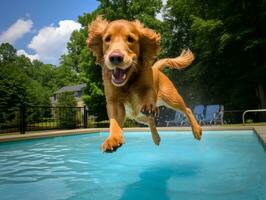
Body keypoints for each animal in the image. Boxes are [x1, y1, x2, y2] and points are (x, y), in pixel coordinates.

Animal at [87, 16, 202, 152]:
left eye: (130, 39)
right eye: (107, 39)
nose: (115, 57)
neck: (129, 80)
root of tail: (156, 68)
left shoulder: (148, 87)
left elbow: (147, 92)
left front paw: (148, 105)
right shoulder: (113, 101)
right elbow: (114, 122)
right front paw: (113, 139)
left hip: (171, 98)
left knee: (187, 109)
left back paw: (196, 130)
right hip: (137, 116)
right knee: (151, 120)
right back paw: (156, 137)